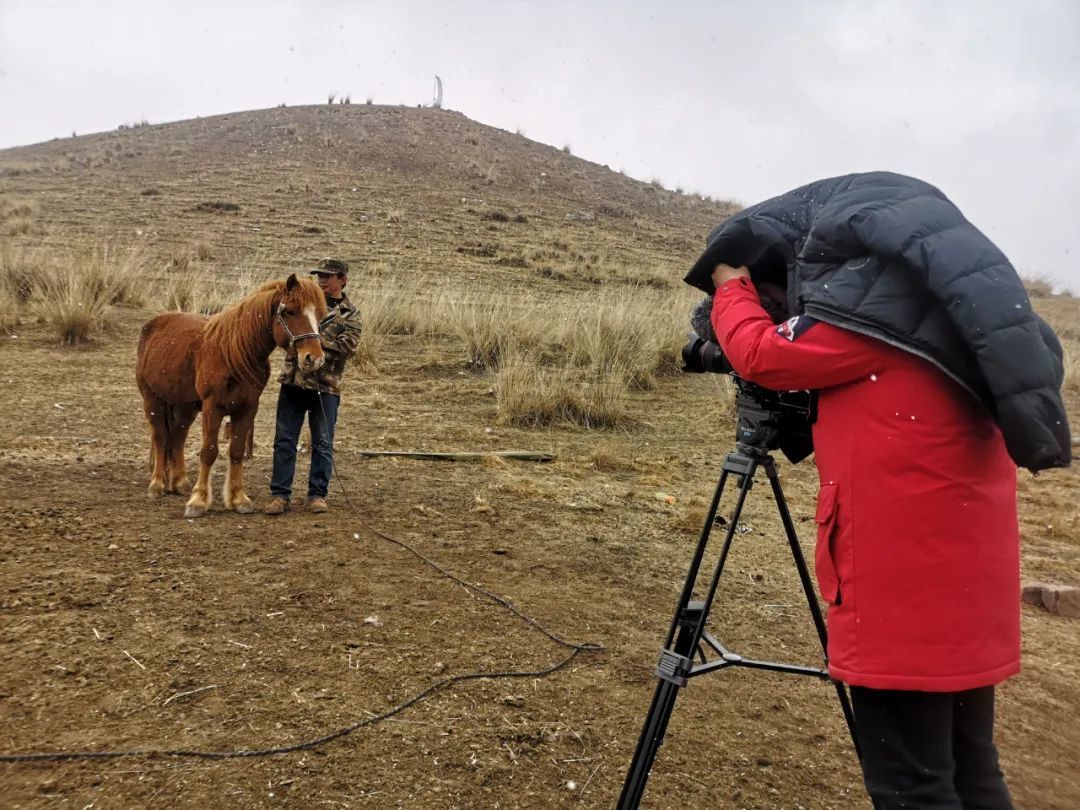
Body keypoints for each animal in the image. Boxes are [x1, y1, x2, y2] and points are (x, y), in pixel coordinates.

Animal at [133, 276, 324, 516]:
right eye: (290, 311)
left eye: (319, 314)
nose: (314, 358)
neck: (233, 353)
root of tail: (153, 325)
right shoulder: (212, 407)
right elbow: (209, 451)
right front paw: (198, 501)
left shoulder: (247, 409)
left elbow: (236, 451)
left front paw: (238, 499)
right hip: (153, 400)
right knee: (160, 436)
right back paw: (157, 485)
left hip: (185, 407)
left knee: (177, 437)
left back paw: (181, 483)